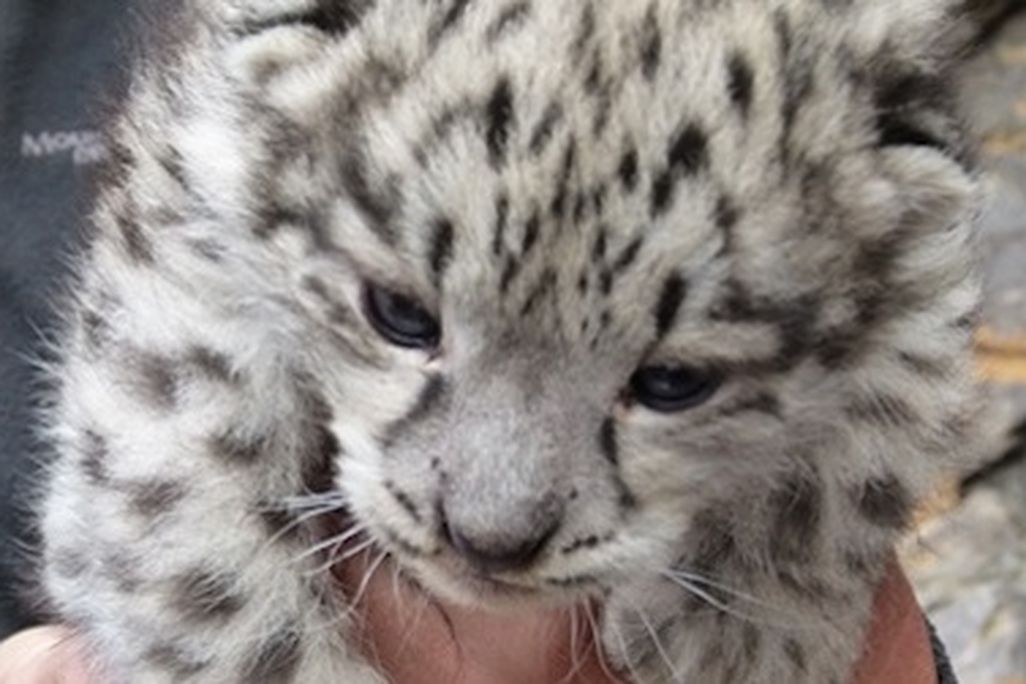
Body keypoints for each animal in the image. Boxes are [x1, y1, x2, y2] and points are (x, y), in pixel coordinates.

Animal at [34, 0, 986, 682]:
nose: (489, 541)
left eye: (673, 381)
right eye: (399, 312)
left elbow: (877, 429)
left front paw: (739, 638)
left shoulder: (935, 279)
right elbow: (193, 555)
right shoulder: (180, 277)